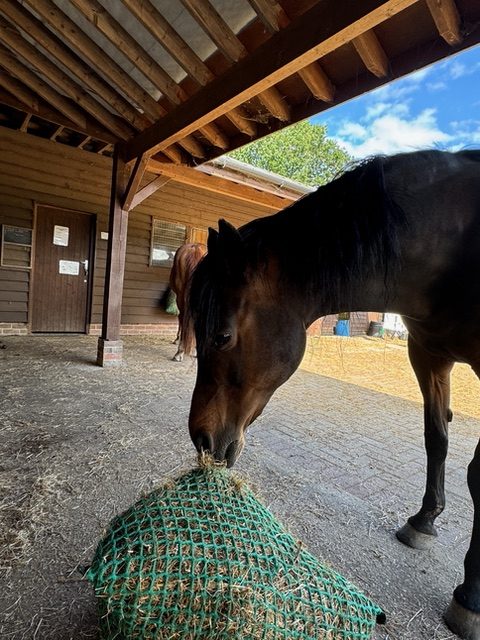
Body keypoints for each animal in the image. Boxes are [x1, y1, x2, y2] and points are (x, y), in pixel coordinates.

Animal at [187, 149, 480, 640]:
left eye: (222, 335)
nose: (201, 439)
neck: (452, 246)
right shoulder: (428, 354)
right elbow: (436, 440)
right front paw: (423, 521)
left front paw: (469, 598)